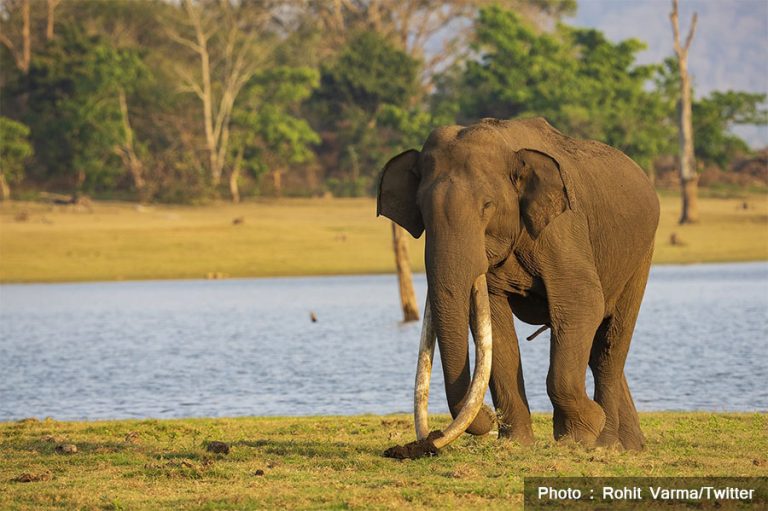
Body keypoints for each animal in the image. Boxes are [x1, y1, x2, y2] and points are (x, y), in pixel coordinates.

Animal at [378, 118, 660, 458]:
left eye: (487, 205)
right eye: (421, 210)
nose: (426, 442)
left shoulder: (563, 229)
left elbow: (582, 304)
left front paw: (581, 435)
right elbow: (494, 328)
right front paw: (516, 443)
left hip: (641, 254)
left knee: (609, 345)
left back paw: (607, 443)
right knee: (596, 351)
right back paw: (631, 445)